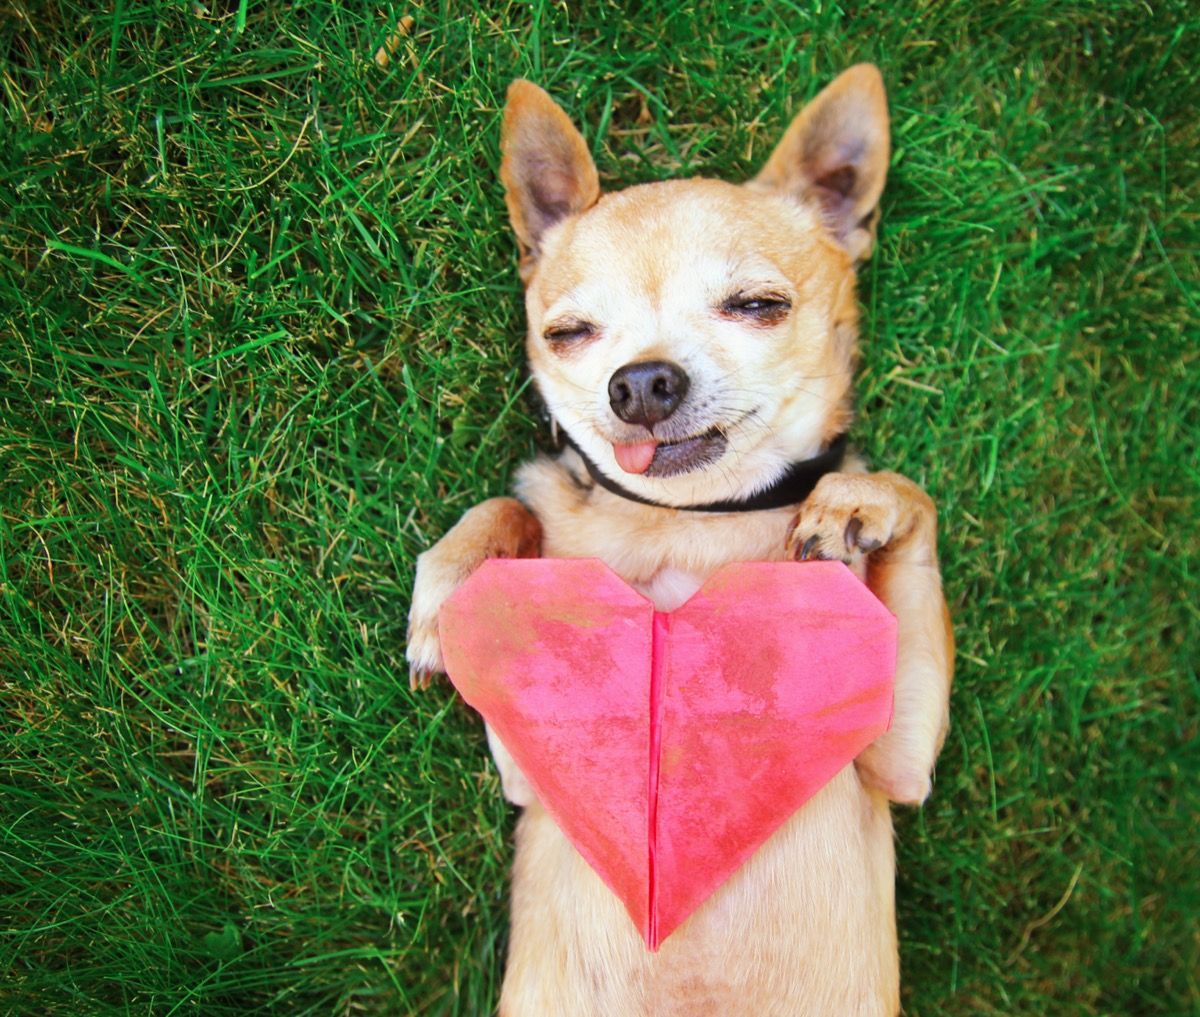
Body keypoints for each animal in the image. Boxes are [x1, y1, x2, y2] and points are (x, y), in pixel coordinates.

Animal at [408, 65, 950, 1017]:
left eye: (759, 305)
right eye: (569, 334)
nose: (640, 382)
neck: (687, 523)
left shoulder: (901, 762)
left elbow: (909, 495)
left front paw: (854, 501)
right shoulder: (529, 770)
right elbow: (510, 507)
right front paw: (448, 593)